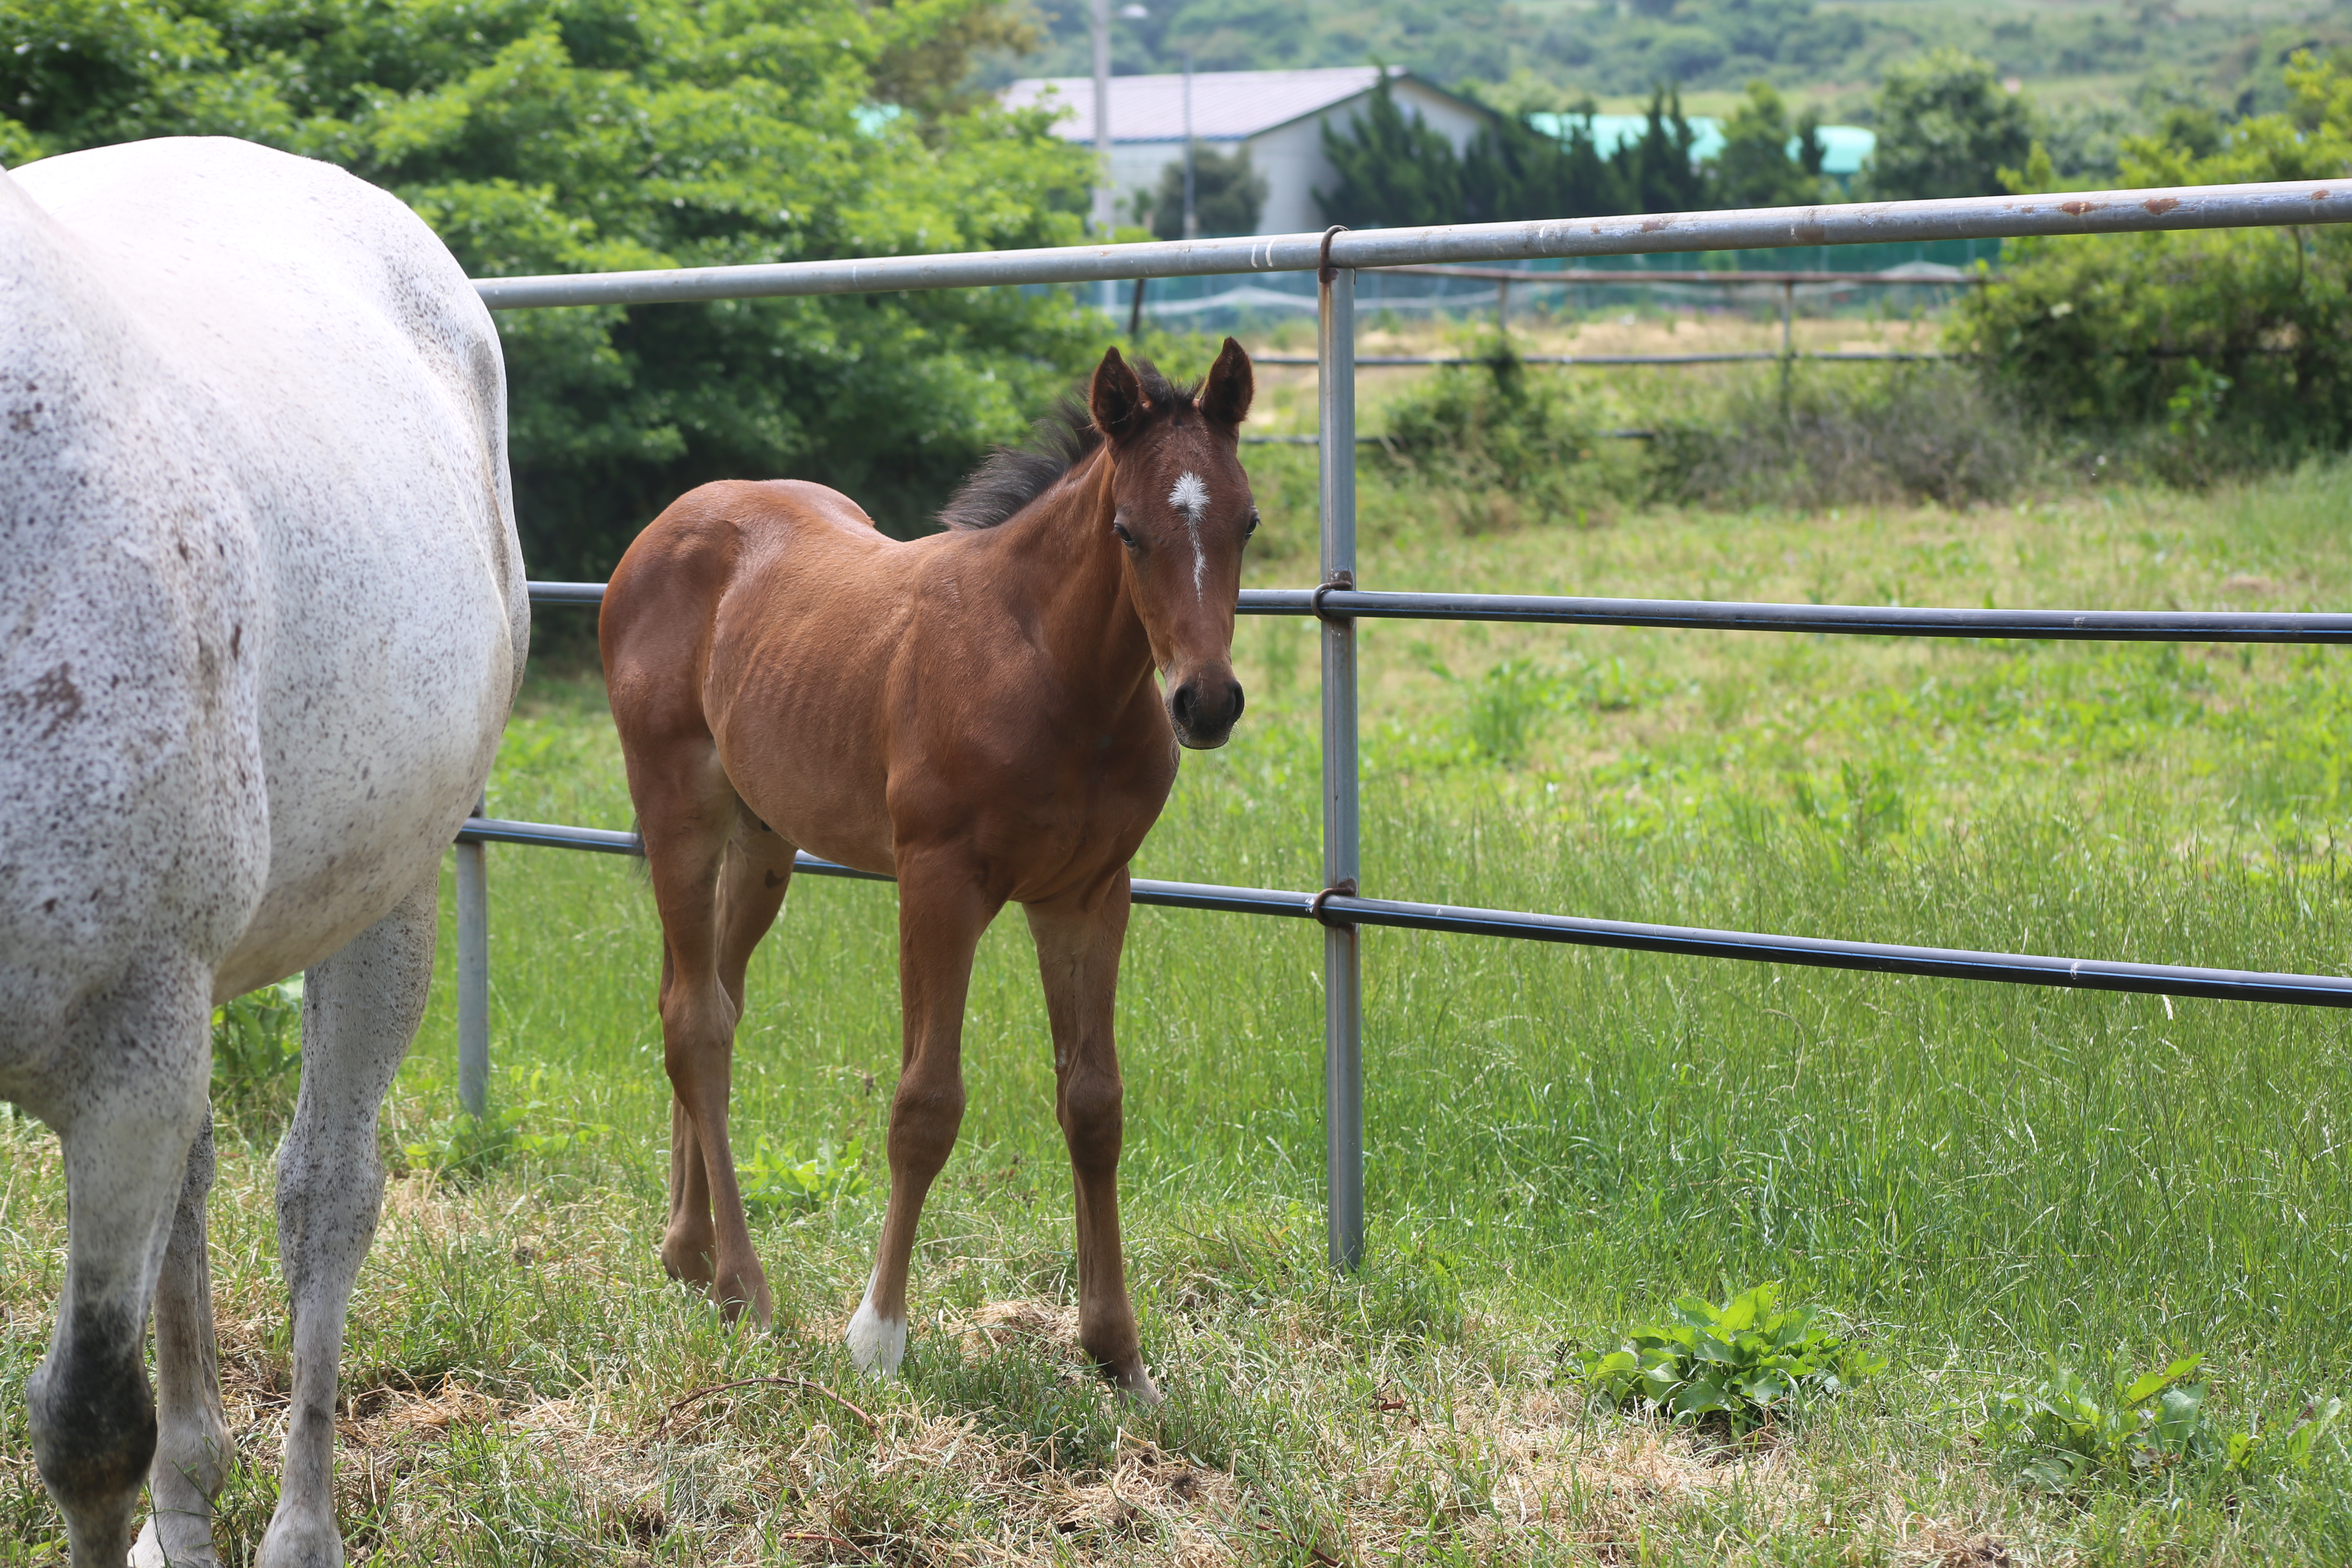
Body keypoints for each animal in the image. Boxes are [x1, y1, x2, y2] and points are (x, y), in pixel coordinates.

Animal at [0, 141, 524, 1561]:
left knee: (322, 1199)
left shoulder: (124, 1052)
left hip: (386, 909)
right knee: (195, 1202)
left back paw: (297, 1527)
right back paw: (185, 1519)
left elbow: (88, 1427)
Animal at [607, 339, 1261, 1392]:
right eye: (1127, 531)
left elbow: (1094, 1104)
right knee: (697, 1022)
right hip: (680, 811)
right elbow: (925, 1103)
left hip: (764, 841)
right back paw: (743, 1288)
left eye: (1246, 520)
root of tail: (667, 524)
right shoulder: (939, 884)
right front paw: (877, 1336)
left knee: (703, 995)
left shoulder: (1087, 895)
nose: (1205, 703)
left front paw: (1117, 1352)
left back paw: (689, 1249)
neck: (1055, 673)